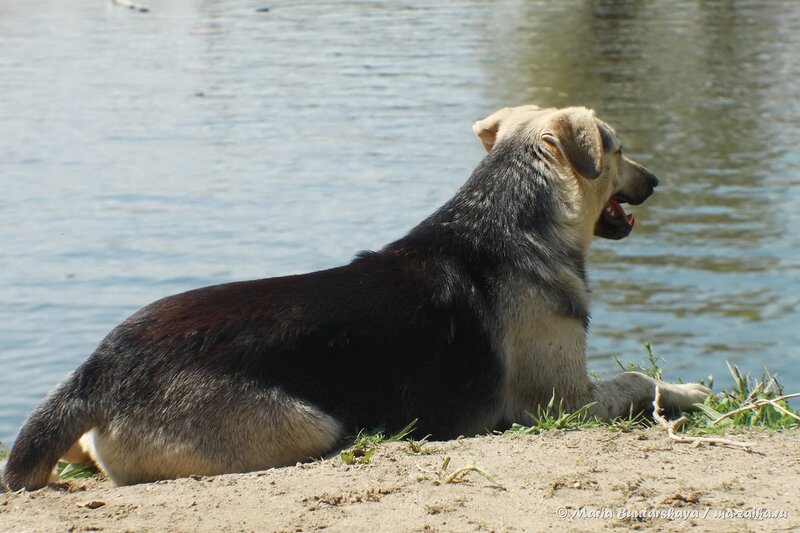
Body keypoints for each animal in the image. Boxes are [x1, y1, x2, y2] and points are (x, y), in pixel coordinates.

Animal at [1, 102, 712, 488]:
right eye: (617, 148)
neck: (510, 218)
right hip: (310, 423)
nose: (655, 179)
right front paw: (689, 391)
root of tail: (98, 368)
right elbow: (634, 381)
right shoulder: (565, 402)